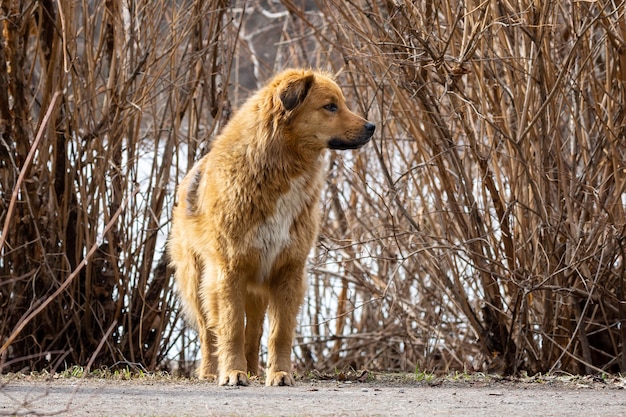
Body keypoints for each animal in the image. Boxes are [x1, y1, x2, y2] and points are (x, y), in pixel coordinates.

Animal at [167, 66, 376, 386]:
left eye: (340, 103)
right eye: (330, 106)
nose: (372, 127)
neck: (277, 169)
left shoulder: (288, 270)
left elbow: (280, 333)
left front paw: (279, 374)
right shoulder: (229, 271)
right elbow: (230, 329)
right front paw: (233, 373)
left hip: (254, 288)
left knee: (253, 332)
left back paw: (253, 370)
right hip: (198, 279)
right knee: (208, 332)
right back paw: (211, 372)